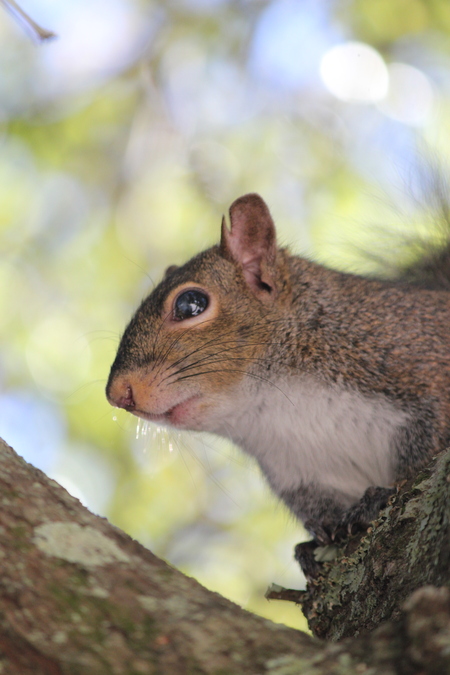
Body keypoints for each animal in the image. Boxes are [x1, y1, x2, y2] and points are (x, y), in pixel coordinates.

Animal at [106, 193, 450, 578]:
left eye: (190, 303)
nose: (117, 394)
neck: (280, 401)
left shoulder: (425, 369)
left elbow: (421, 456)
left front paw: (378, 498)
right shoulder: (299, 473)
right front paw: (315, 541)